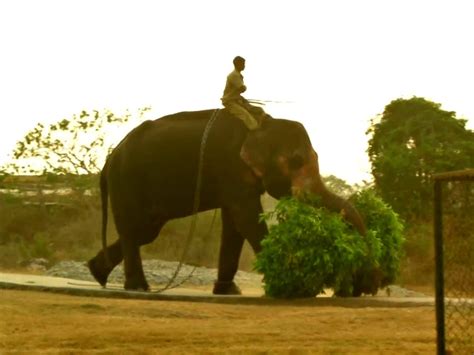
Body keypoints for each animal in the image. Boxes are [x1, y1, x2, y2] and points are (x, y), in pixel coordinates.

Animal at [87, 108, 366, 294]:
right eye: (297, 160)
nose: (359, 286)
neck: (262, 124)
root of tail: (109, 160)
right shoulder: (230, 165)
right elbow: (246, 217)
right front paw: (289, 286)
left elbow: (235, 224)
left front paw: (228, 291)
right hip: (126, 180)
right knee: (134, 229)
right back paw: (137, 288)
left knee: (145, 231)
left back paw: (97, 272)